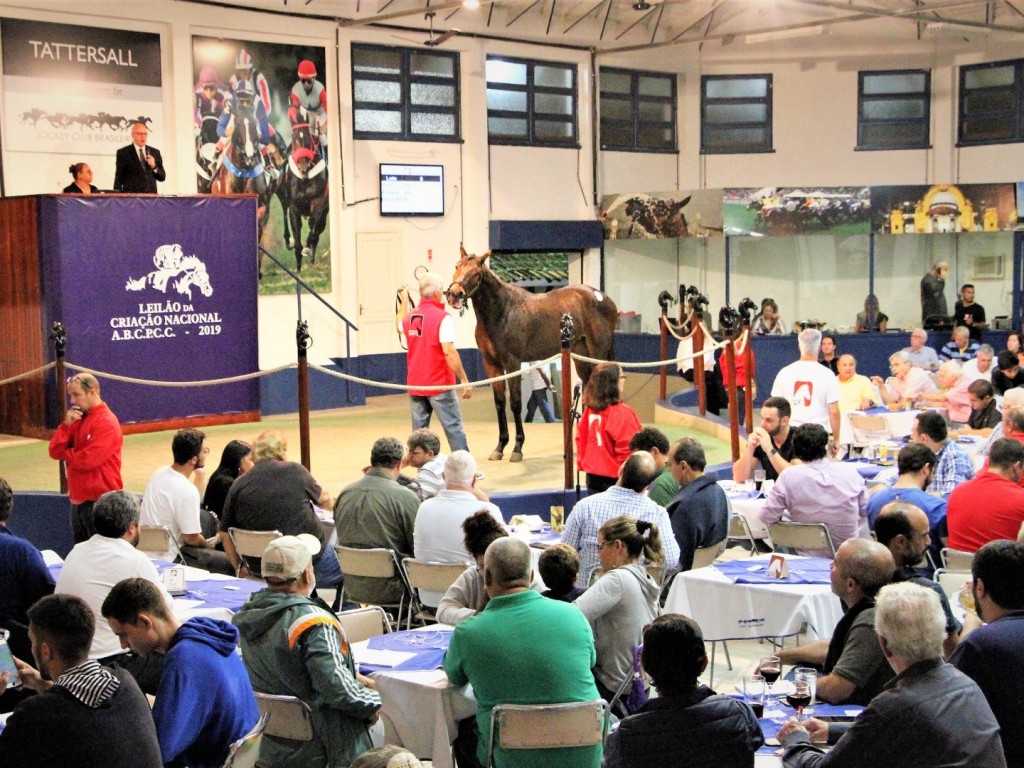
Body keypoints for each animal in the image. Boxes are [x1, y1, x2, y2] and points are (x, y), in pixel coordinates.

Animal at [448, 247, 614, 462]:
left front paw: (517, 448)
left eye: (476, 272)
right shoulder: (491, 364)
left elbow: (515, 403)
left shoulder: (513, 363)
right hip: (580, 357)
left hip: (597, 355)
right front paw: (500, 447)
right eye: (457, 266)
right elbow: (500, 403)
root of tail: (603, 298)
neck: (502, 311)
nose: (454, 293)